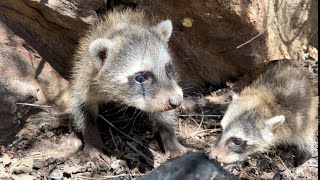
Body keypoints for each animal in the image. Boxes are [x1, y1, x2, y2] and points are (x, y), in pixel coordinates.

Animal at [70, 8, 185, 165]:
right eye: (141, 77)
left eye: (168, 68)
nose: (177, 101)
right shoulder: (85, 75)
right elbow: (83, 108)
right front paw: (92, 141)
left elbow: (162, 113)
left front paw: (169, 135)